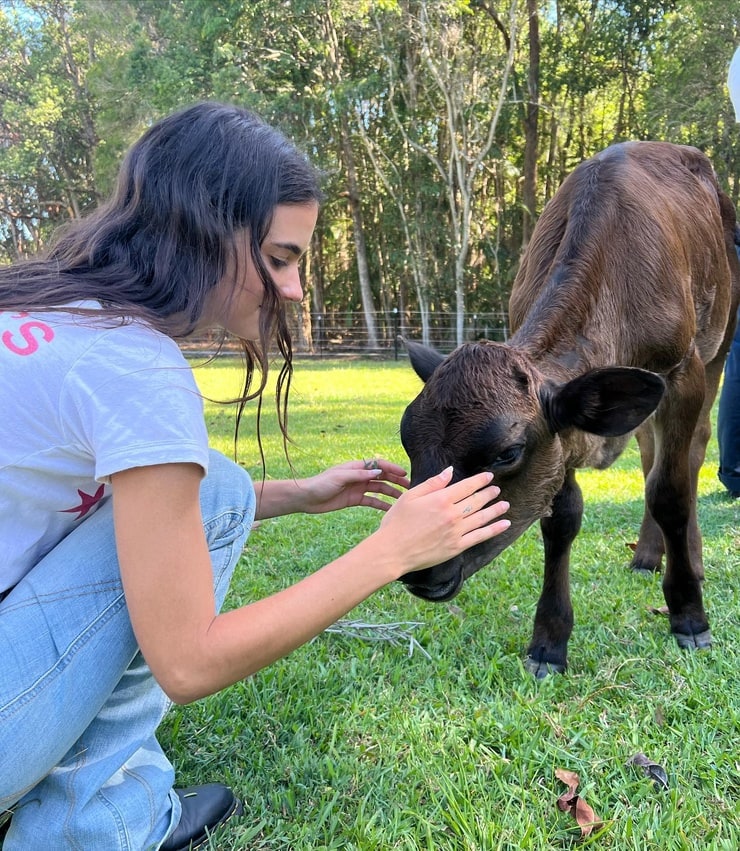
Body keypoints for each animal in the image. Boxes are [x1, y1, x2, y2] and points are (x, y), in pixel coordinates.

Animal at [398, 141, 740, 680]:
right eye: (407, 440)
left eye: (507, 453)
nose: (418, 566)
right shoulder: (566, 430)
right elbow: (561, 517)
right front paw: (549, 641)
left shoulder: (682, 369)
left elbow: (670, 492)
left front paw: (689, 615)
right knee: (649, 452)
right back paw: (648, 554)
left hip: (720, 341)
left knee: (690, 454)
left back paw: (693, 559)